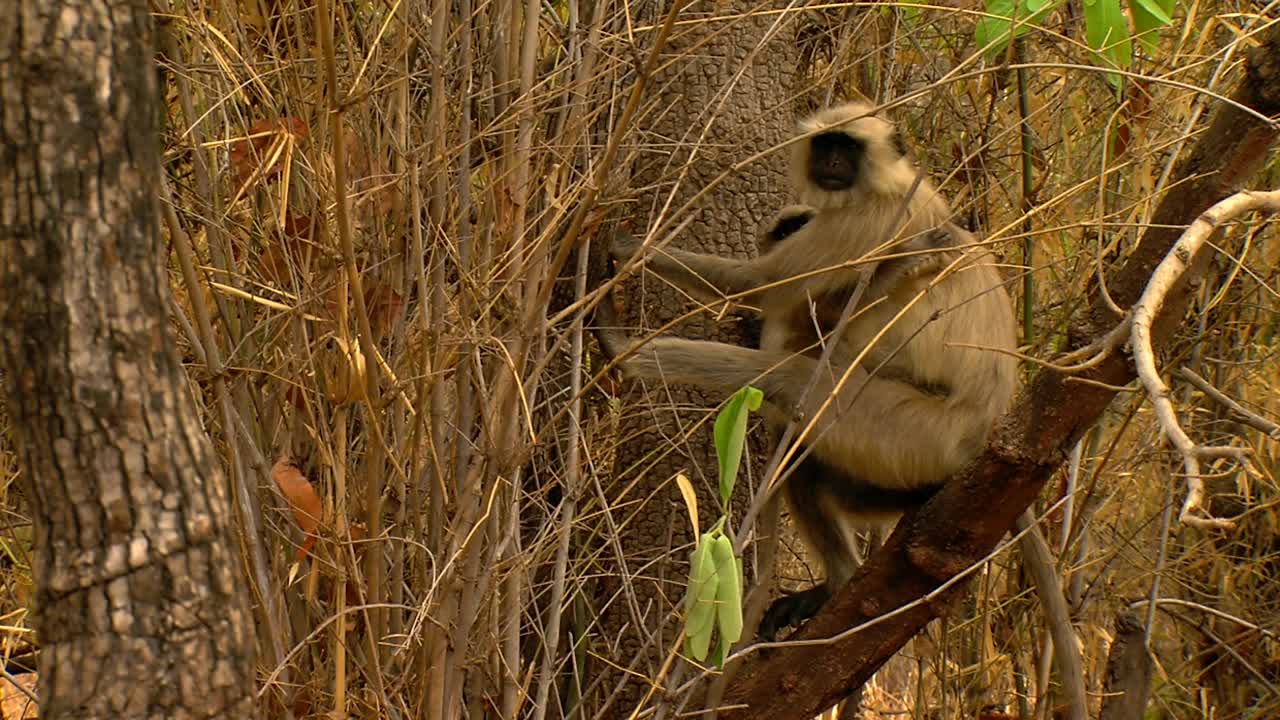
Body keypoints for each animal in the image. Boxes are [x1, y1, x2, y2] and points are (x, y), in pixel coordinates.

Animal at [599, 99, 1018, 632]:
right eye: (825, 144)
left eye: (847, 148)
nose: (832, 163)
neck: (896, 186)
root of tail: (986, 428)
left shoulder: (862, 221)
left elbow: (760, 285)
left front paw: (629, 248)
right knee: (801, 450)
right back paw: (839, 584)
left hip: (915, 430)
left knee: (786, 379)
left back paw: (622, 350)